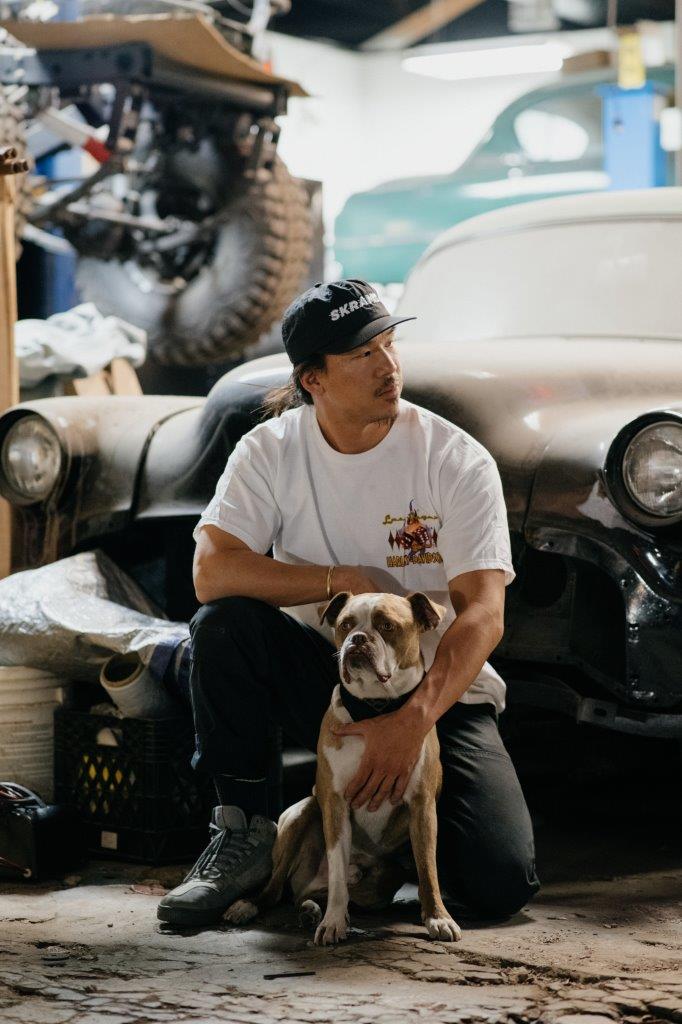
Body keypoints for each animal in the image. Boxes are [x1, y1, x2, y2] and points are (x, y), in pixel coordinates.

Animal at [225, 593, 458, 942]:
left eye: (387, 626)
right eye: (345, 624)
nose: (357, 639)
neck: (374, 711)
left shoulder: (422, 807)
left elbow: (428, 870)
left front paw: (437, 918)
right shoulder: (334, 803)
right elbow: (336, 872)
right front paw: (334, 922)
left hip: (382, 881)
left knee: (311, 894)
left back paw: (311, 909)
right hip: (302, 813)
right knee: (278, 887)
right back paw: (252, 906)